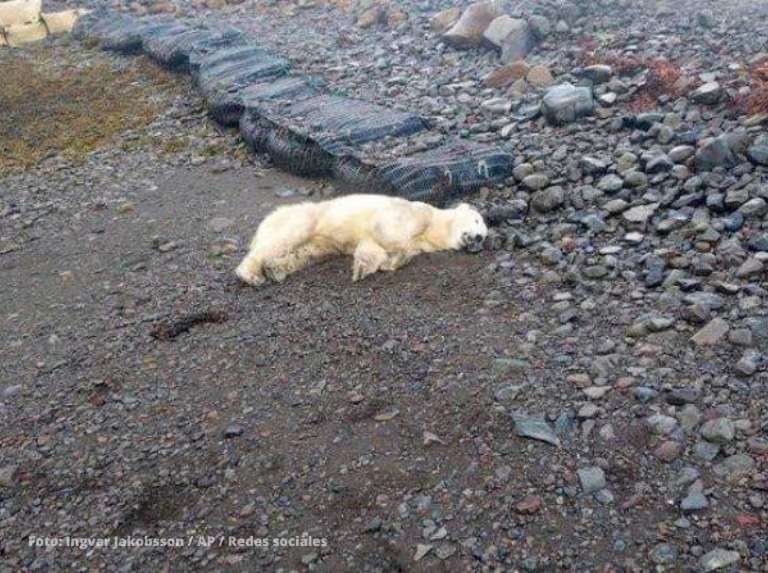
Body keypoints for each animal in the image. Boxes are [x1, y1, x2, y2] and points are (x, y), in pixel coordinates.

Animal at [235, 194, 488, 286]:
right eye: (477, 221)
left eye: (484, 236)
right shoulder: (414, 213)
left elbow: (371, 246)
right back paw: (251, 275)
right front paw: (393, 256)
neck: (434, 227)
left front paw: (366, 267)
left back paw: (275, 269)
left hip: (321, 242)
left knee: (308, 252)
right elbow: (386, 231)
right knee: (285, 238)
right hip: (305, 217)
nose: (478, 239)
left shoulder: (421, 242)